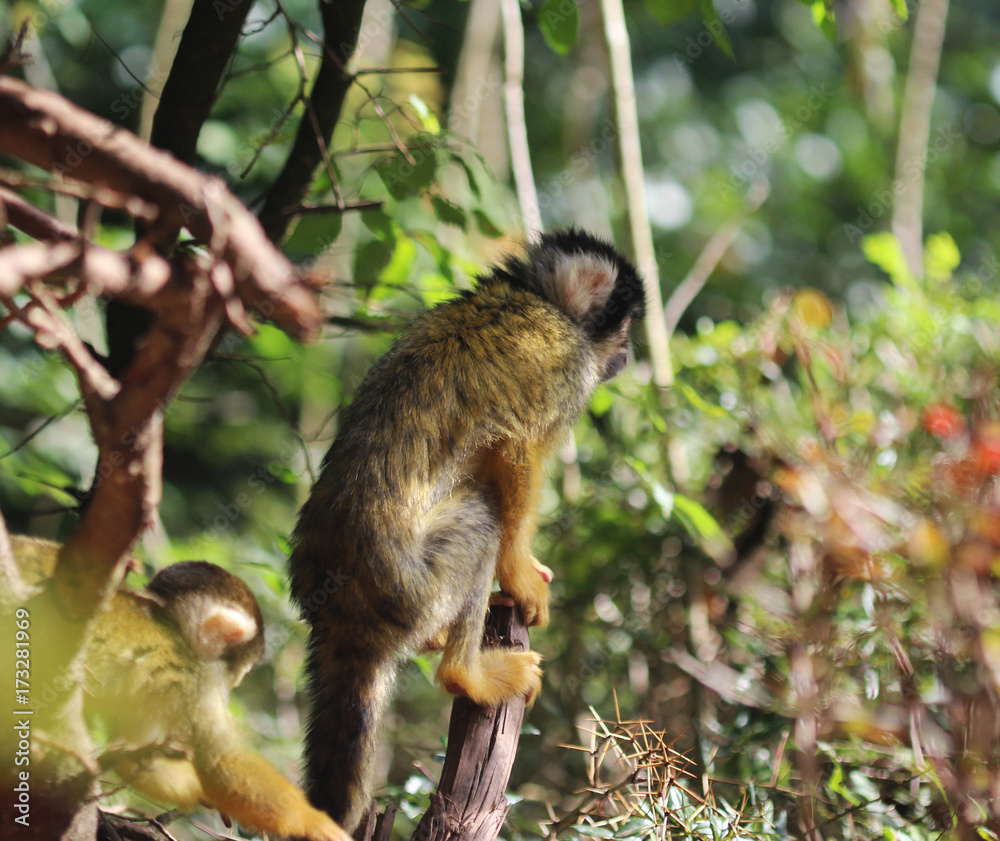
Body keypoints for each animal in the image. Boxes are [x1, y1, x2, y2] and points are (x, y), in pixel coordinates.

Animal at [8, 536, 349, 841]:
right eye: (244, 667)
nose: (238, 682)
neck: (170, 625)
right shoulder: (200, 681)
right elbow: (221, 764)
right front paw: (315, 824)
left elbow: (133, 750)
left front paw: (196, 792)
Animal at [289, 228, 646, 832]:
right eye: (625, 327)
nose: (628, 355)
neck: (535, 293)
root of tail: (334, 614)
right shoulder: (567, 364)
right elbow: (517, 449)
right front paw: (519, 575)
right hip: (411, 588)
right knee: (482, 518)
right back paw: (466, 675)